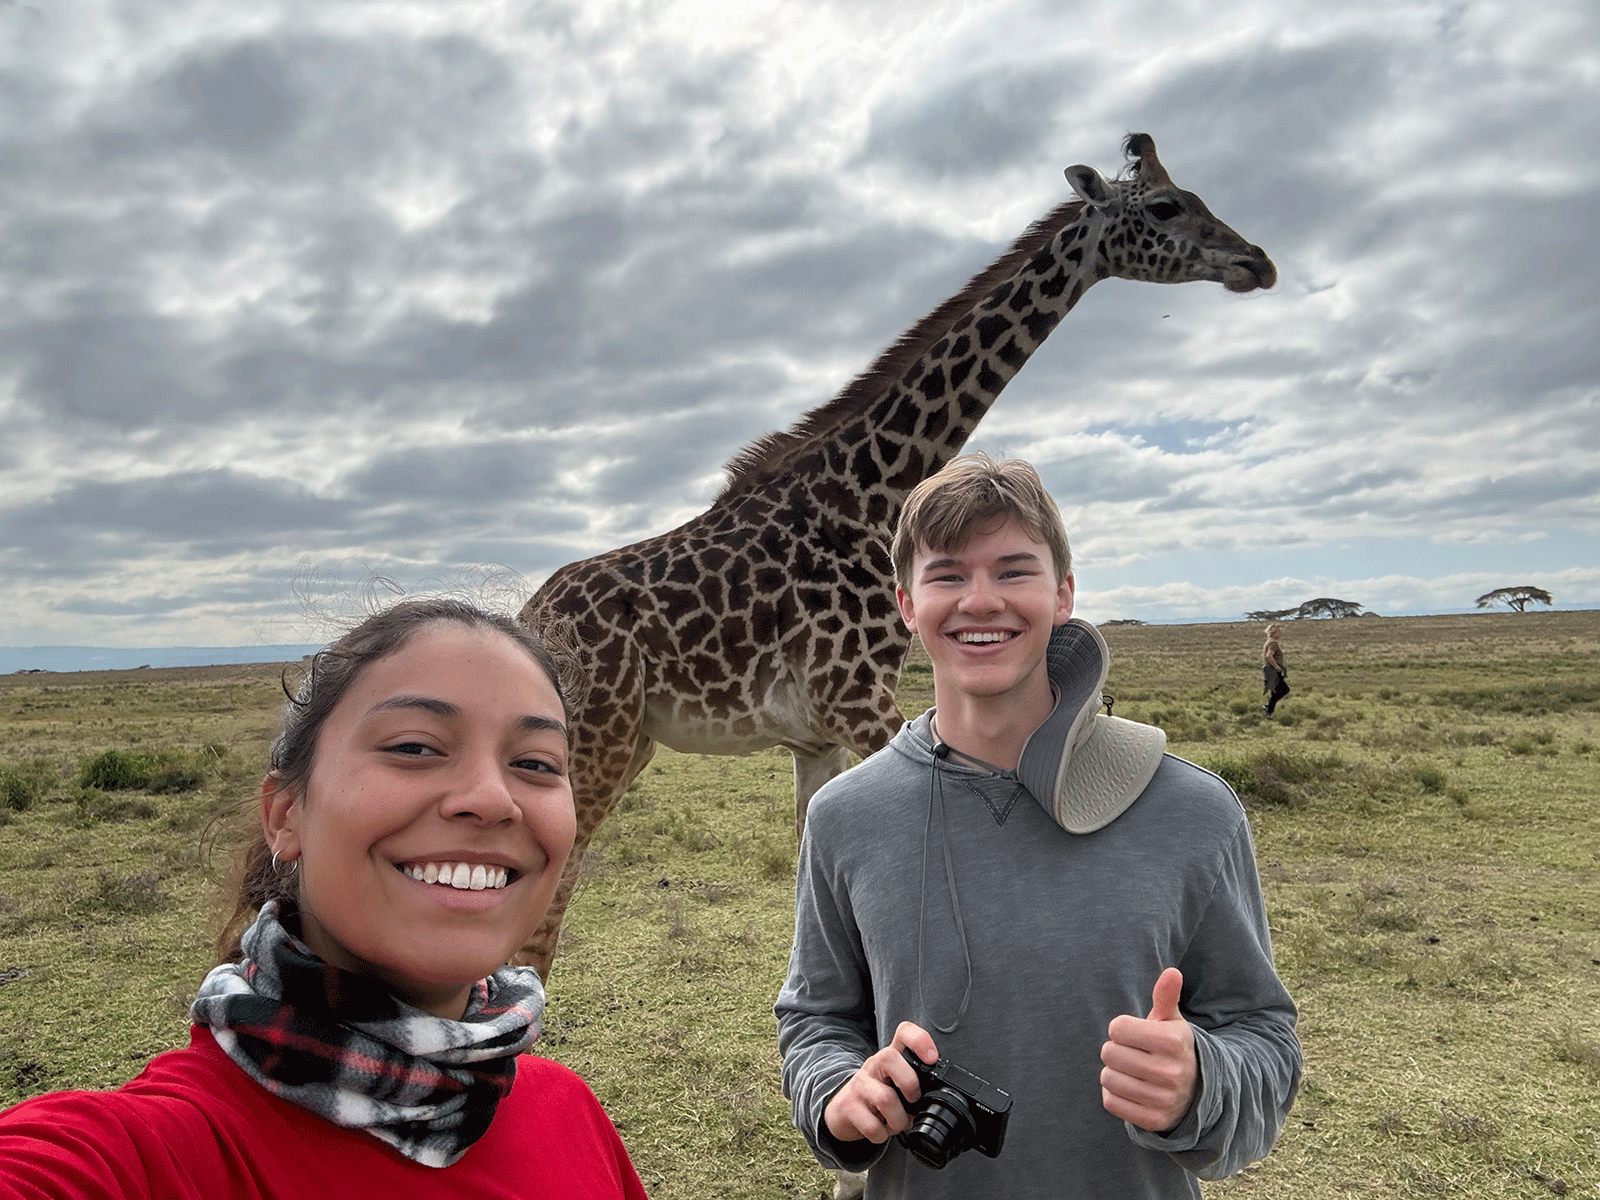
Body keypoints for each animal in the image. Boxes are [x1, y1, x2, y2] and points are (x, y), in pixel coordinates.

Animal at [517, 133, 1275, 977]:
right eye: (1167, 206)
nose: (1258, 261)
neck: (869, 493)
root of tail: (528, 615)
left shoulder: (815, 734)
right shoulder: (857, 698)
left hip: (630, 740)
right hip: (598, 734)